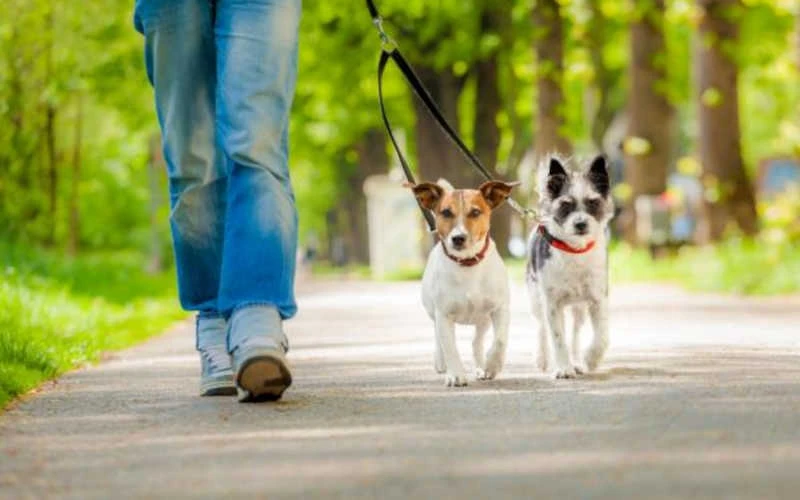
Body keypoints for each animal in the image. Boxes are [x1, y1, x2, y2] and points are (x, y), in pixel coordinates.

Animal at [410, 180, 516, 386]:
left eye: (475, 212)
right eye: (445, 212)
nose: (458, 238)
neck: (467, 264)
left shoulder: (500, 309)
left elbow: (500, 340)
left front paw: (492, 365)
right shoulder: (443, 315)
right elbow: (450, 347)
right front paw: (456, 374)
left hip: (483, 319)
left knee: (477, 341)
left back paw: (481, 366)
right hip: (433, 312)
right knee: (439, 338)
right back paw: (441, 362)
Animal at [528, 155, 616, 378]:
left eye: (593, 203)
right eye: (565, 205)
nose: (580, 224)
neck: (574, 251)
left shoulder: (598, 299)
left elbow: (603, 336)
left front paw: (590, 359)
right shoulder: (552, 303)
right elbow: (558, 337)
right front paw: (563, 368)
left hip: (579, 308)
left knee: (575, 333)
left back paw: (576, 361)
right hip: (536, 298)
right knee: (541, 327)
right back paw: (543, 358)